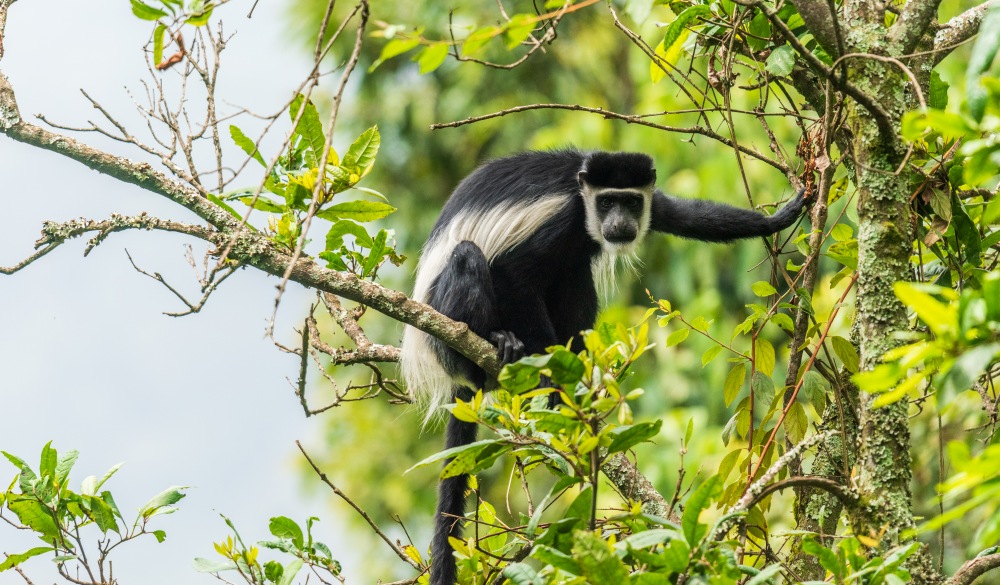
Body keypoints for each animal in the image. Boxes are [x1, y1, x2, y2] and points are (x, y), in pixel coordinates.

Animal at [398, 147, 804, 584]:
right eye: (607, 202)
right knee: (469, 258)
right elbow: (512, 271)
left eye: (630, 202)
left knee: (575, 276)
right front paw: (554, 379)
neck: (583, 202)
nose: (620, 223)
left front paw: (782, 216)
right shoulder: (558, 218)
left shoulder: (649, 201)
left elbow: (681, 214)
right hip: (443, 318)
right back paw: (497, 343)